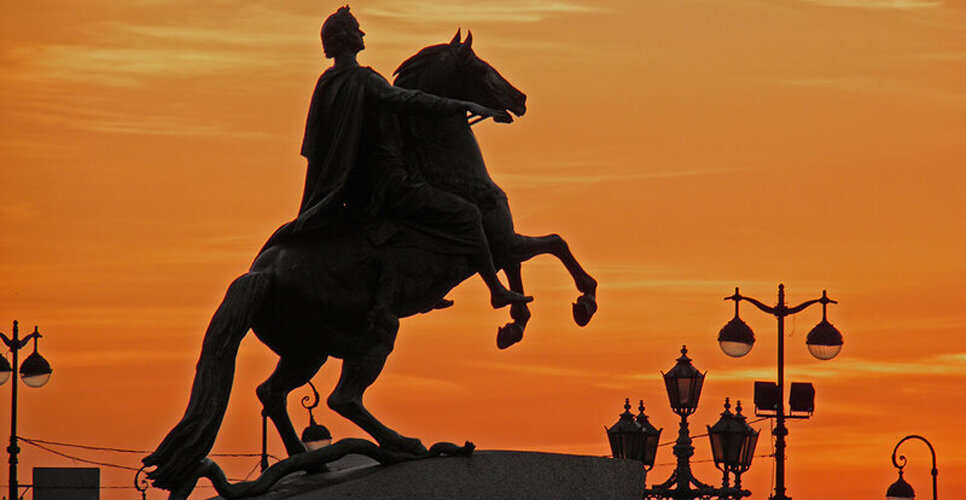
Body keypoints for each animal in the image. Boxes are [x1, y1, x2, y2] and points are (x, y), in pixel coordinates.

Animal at [144, 30, 596, 496]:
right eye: (478, 65)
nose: (519, 99)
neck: (450, 175)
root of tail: (260, 274)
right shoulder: (494, 235)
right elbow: (552, 246)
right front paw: (580, 303)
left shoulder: (503, 243)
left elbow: (525, 264)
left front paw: (514, 323)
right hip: (371, 334)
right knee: (342, 397)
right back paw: (404, 444)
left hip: (307, 349)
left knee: (272, 392)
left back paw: (312, 464)